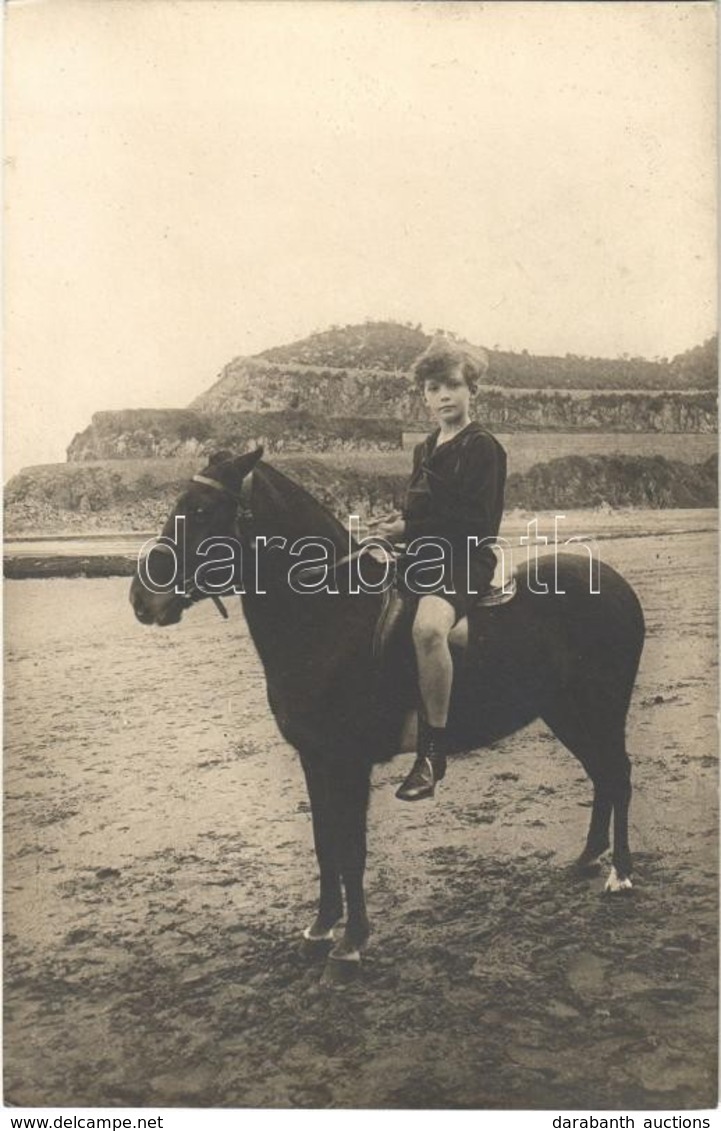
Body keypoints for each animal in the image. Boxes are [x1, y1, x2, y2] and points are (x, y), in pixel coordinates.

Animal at [132, 450, 642, 981]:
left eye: (204, 511)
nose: (142, 599)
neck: (330, 618)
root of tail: (615, 584)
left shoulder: (348, 764)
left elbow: (352, 851)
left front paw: (350, 946)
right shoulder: (314, 760)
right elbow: (324, 844)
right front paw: (320, 930)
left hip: (603, 709)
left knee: (618, 775)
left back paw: (621, 873)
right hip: (565, 713)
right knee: (601, 777)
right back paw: (588, 858)